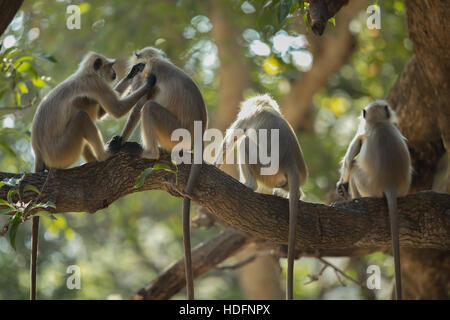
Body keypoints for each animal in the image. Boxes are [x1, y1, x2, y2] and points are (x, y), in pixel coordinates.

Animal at [29, 51, 156, 298]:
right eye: (110, 67)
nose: (115, 73)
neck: (84, 74)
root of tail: (39, 152)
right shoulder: (94, 84)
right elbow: (115, 111)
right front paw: (148, 82)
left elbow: (102, 111)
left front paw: (134, 71)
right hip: (63, 151)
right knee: (82, 115)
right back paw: (104, 156)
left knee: (87, 110)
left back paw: (96, 158)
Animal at [108, 47, 208, 300]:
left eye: (138, 65)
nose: (133, 71)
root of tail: (198, 139)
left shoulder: (150, 78)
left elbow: (137, 107)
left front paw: (118, 143)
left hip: (173, 132)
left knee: (149, 108)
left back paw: (149, 153)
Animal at [213, 95, 308, 300]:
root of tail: (291, 163)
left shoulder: (248, 116)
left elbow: (232, 137)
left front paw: (214, 164)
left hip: (265, 170)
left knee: (244, 142)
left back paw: (250, 185)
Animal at [338, 100, 412, 300]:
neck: (379, 123)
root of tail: (390, 183)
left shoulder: (361, 131)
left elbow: (348, 161)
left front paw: (341, 184)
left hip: (367, 186)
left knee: (354, 168)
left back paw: (355, 199)